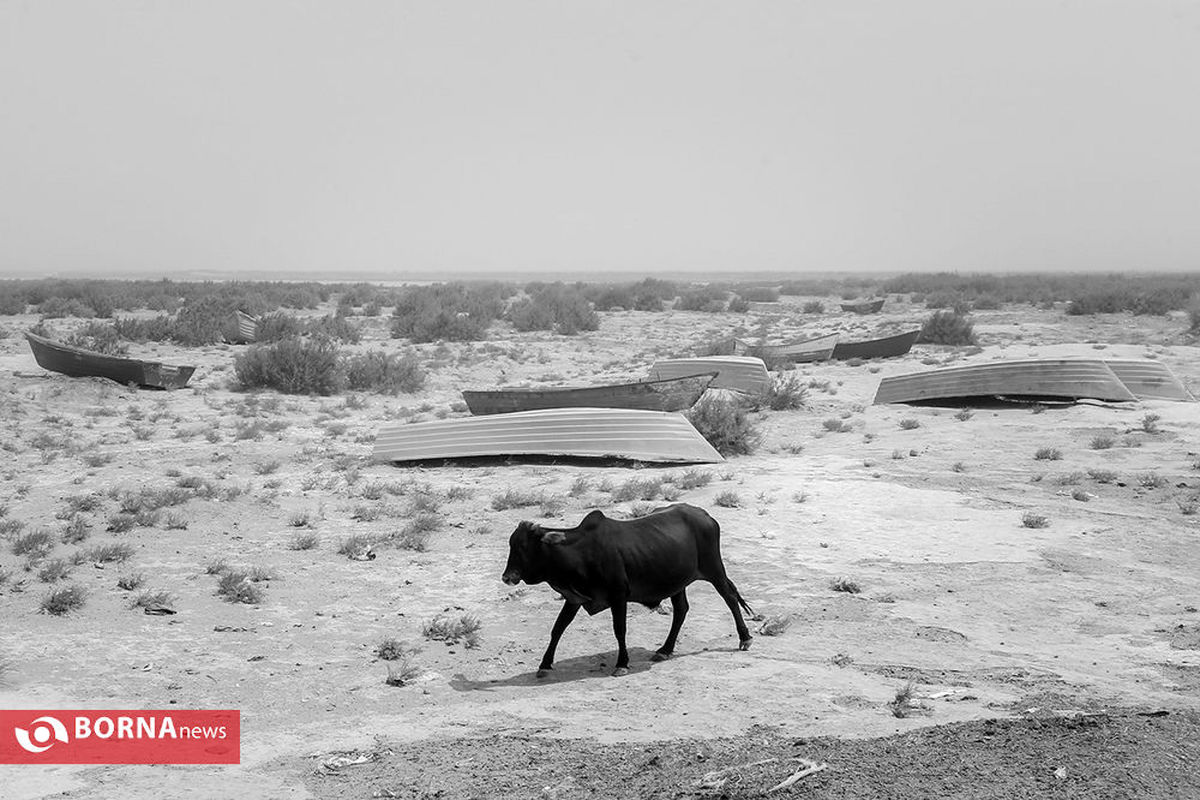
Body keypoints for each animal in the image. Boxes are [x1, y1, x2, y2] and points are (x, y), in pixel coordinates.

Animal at [501, 503, 753, 681]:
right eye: (512, 545)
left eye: (524, 547)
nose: (507, 577)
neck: (580, 552)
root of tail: (705, 515)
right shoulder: (574, 599)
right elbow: (558, 629)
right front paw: (544, 664)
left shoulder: (618, 596)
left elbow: (619, 630)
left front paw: (622, 663)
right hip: (677, 583)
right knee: (681, 610)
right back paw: (665, 649)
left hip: (714, 570)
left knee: (730, 598)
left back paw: (745, 638)